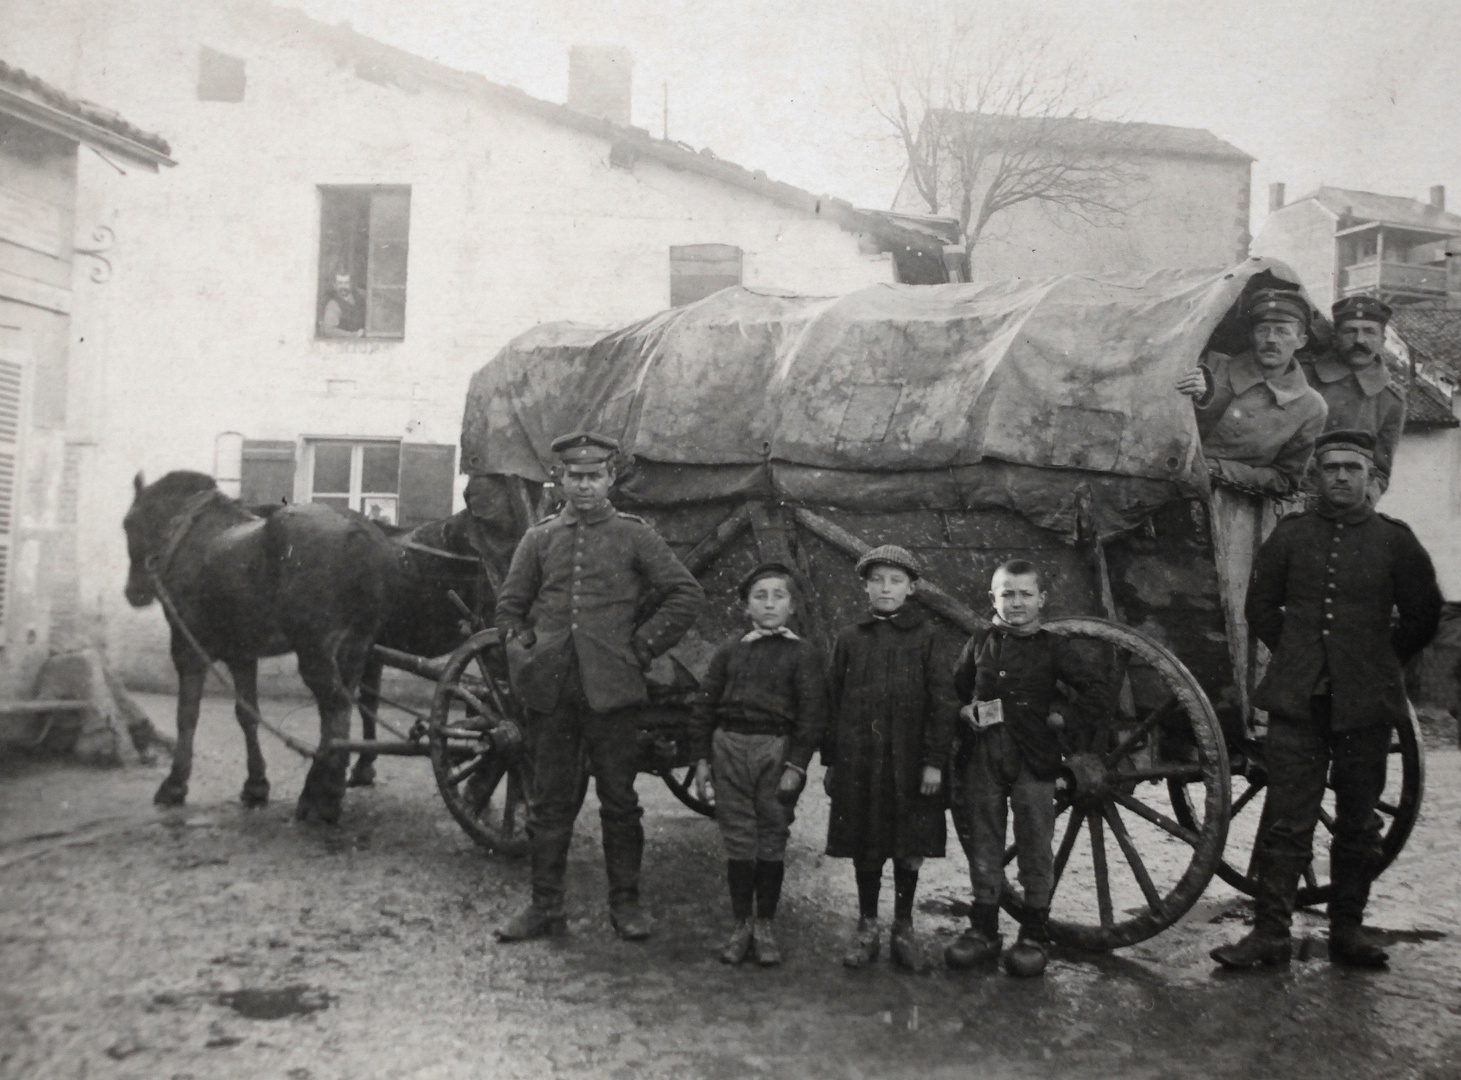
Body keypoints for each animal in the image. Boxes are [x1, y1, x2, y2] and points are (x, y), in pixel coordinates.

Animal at [124, 467, 394, 824]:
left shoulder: (187, 649)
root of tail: (359, 533)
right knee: (344, 708)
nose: (134, 592)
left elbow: (187, 715)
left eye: (128, 523)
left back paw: (324, 794)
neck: (186, 535)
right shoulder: (242, 655)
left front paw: (175, 783)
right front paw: (256, 784)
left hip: (316, 654)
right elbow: (247, 714)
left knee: (334, 708)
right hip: (355, 651)